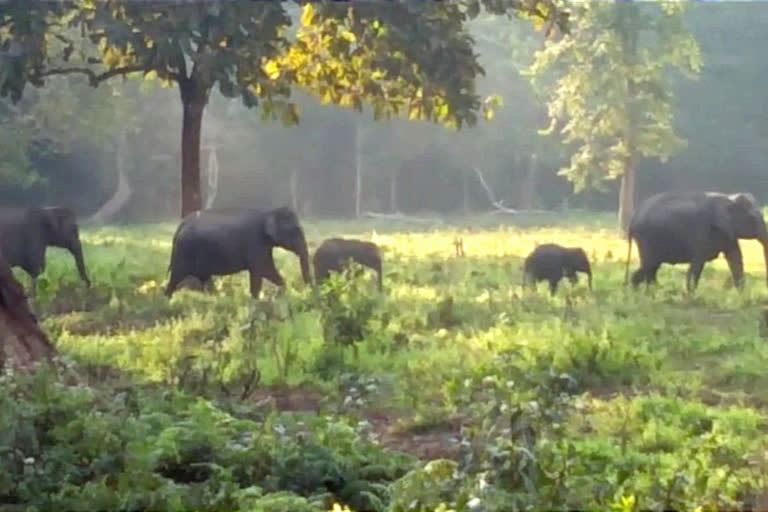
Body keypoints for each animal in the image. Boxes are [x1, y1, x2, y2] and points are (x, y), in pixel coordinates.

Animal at [165, 206, 312, 298]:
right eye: (296, 230)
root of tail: (181, 225)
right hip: (184, 251)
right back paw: (167, 299)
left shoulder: (263, 246)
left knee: (204, 278)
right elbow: (261, 270)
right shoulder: (255, 243)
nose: (308, 291)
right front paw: (256, 300)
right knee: (176, 277)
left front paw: (282, 291)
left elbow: (268, 270)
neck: (268, 212)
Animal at [624, 191, 768, 292]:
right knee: (649, 265)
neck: (728, 198)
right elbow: (697, 264)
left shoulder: (727, 233)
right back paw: (647, 292)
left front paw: (743, 297)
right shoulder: (702, 232)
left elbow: (735, 259)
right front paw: (690, 296)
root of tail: (633, 218)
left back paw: (647, 291)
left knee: (651, 267)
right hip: (646, 239)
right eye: (753, 218)